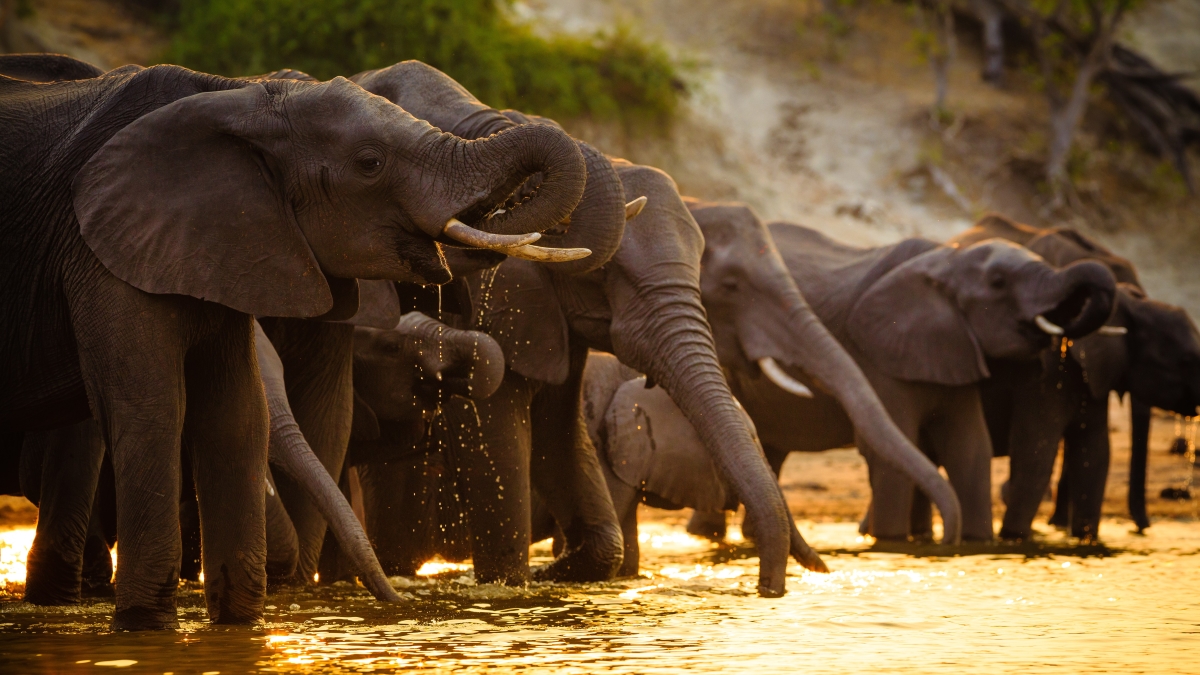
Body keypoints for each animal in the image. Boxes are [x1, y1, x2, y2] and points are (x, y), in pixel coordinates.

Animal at [0, 60, 590, 629]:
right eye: (370, 163)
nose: (398, 601)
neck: (235, 93)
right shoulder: (98, 252)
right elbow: (152, 410)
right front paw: (147, 629)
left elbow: (238, 414)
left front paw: (239, 628)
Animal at [628, 213, 1113, 540]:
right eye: (998, 282)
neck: (942, 259)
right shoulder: (880, 354)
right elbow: (893, 454)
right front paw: (893, 543)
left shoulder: (953, 349)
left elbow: (969, 448)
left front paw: (973, 545)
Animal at [945, 212, 1200, 538]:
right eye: (1184, 362)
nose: (1145, 530)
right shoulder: (1048, 370)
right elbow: (1038, 452)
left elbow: (1096, 451)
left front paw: (1079, 536)